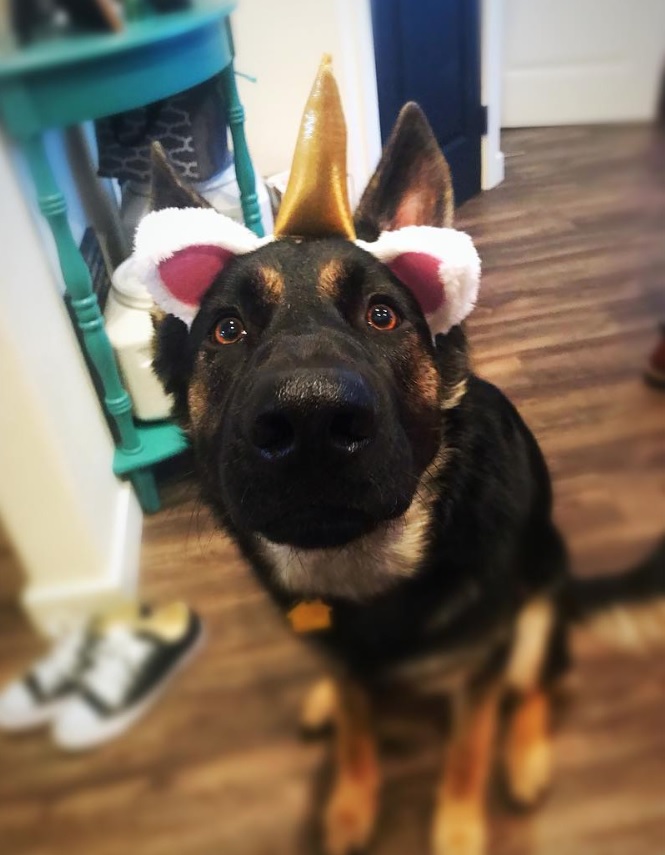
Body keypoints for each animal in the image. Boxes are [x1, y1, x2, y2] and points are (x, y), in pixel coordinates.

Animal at [136, 68, 664, 855]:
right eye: (227, 330)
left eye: (382, 315)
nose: (310, 421)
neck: (368, 571)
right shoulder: (346, 658)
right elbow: (358, 725)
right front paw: (352, 804)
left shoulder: (481, 666)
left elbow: (468, 746)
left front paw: (457, 827)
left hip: (540, 594)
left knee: (536, 681)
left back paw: (527, 753)